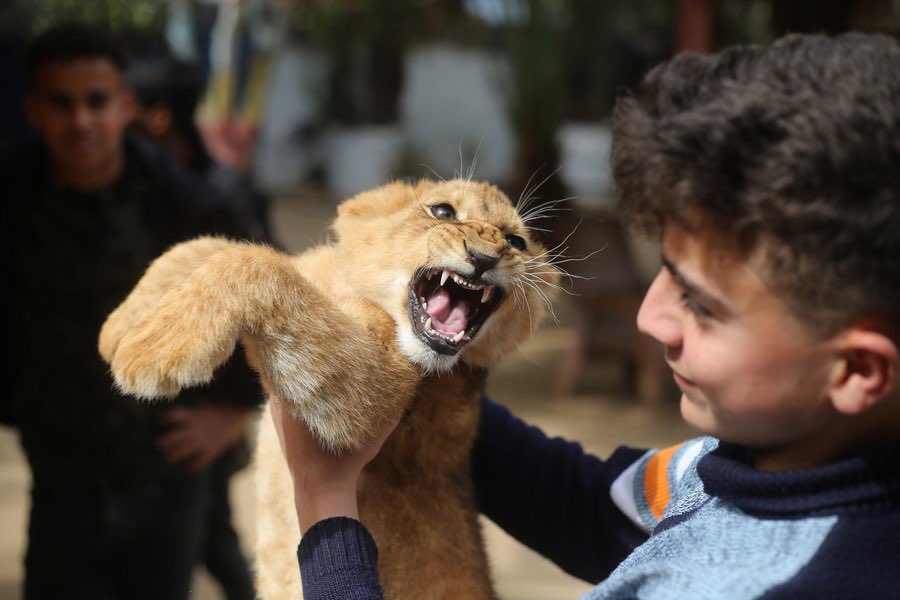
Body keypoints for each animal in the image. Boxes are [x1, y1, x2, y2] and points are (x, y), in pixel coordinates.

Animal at [98, 178, 560, 598]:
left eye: (516, 241)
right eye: (443, 211)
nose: (485, 256)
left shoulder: (377, 388)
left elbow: (255, 264)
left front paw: (152, 350)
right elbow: (206, 243)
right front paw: (120, 327)